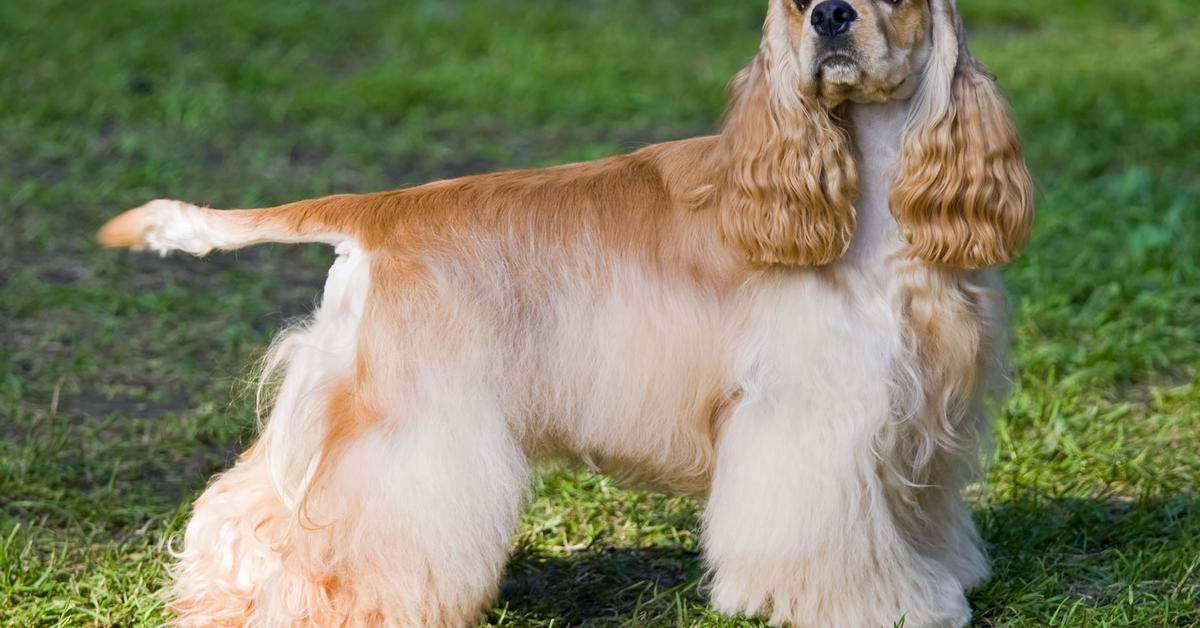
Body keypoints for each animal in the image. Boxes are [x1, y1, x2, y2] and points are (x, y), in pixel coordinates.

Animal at [98, 0, 1032, 624]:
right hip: (411, 431)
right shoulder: (815, 418)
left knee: (246, 503)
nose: (833, 14)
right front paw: (892, 605)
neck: (868, 188)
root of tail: (377, 212)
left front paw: (941, 576)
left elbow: (917, 511)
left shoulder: (923, 409)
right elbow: (828, 536)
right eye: (799, 2)